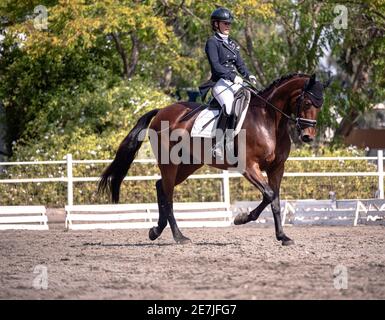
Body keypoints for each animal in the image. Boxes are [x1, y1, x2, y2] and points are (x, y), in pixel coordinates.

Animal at [97, 74, 328, 246]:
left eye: (320, 104)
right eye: (307, 102)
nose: (308, 136)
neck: (268, 120)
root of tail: (161, 111)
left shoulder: (277, 168)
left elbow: (275, 200)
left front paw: (283, 236)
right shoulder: (249, 167)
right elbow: (269, 195)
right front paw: (241, 218)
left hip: (189, 164)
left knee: (160, 186)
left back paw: (156, 230)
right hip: (170, 163)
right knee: (168, 195)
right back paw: (179, 236)